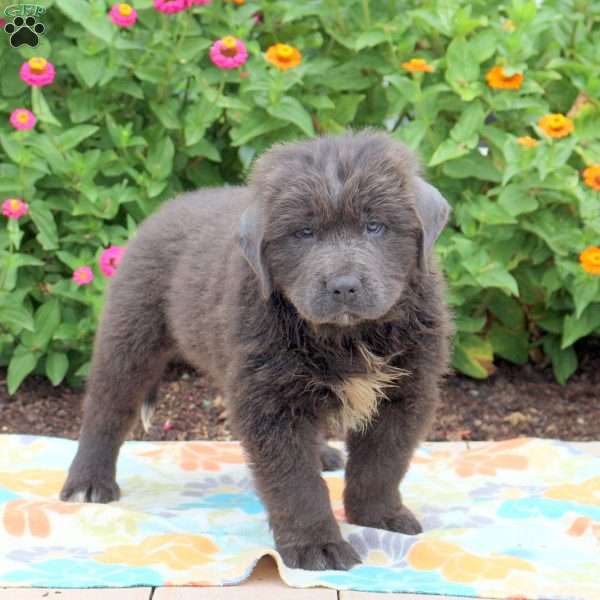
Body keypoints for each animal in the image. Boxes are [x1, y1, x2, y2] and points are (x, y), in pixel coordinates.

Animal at [62, 130, 454, 572]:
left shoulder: (405, 392)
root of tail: (163, 210)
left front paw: (378, 515)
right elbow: (295, 481)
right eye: (304, 233)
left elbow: (381, 464)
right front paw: (317, 546)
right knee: (106, 409)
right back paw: (88, 483)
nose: (344, 286)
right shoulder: (270, 402)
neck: (348, 337)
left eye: (375, 226)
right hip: (130, 336)